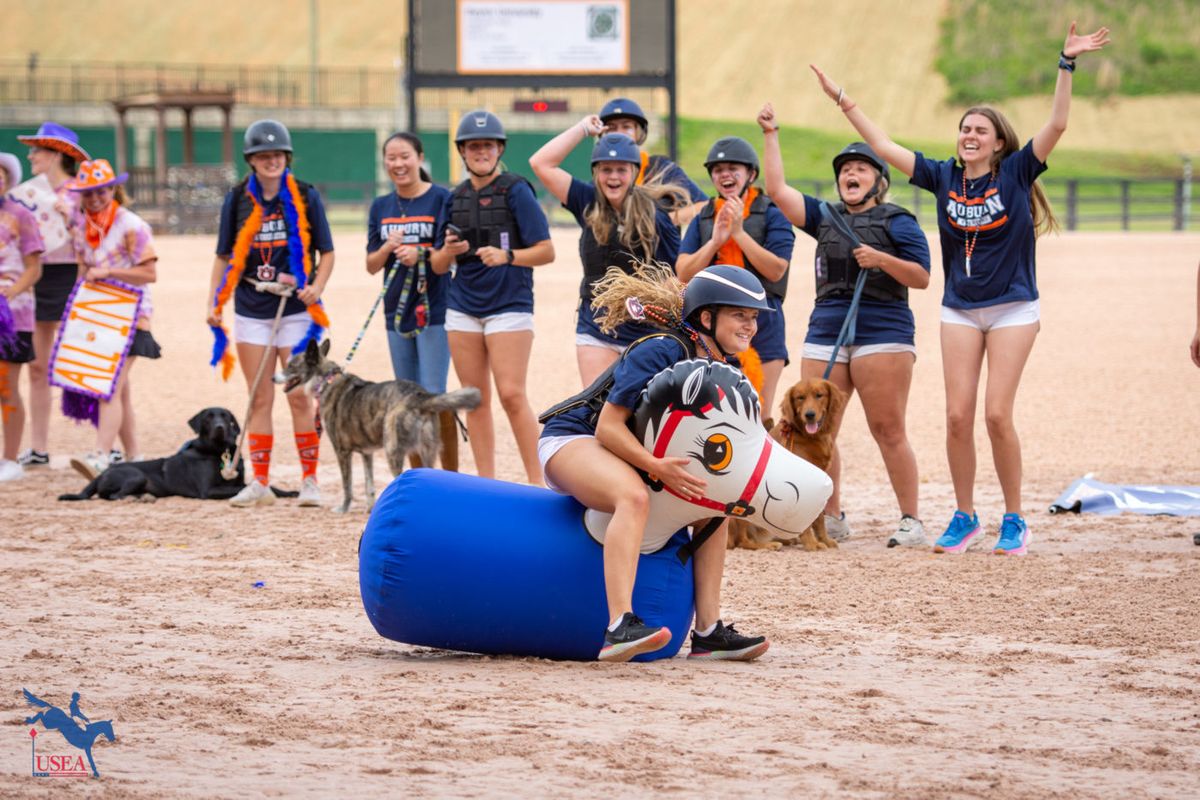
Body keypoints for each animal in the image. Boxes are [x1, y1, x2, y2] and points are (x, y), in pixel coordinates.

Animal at [60, 407, 292, 501]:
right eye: (208, 417)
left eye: (225, 417)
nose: (219, 427)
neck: (219, 451)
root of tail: (101, 473)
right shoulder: (208, 490)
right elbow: (244, 487)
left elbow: (265, 486)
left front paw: (288, 493)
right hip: (137, 475)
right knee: (113, 496)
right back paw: (139, 498)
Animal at [724, 379, 849, 554]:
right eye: (800, 398)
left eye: (819, 395)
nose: (809, 415)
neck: (806, 436)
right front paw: (811, 544)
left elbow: (818, 519)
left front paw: (824, 540)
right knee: (742, 541)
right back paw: (768, 545)